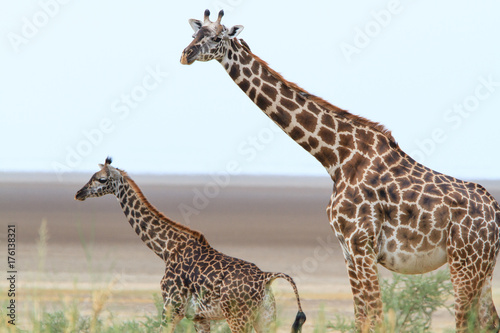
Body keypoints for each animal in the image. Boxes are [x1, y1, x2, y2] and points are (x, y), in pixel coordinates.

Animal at [74, 157, 306, 330]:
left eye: (101, 179)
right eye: (92, 176)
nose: (79, 193)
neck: (166, 250)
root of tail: (266, 278)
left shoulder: (171, 309)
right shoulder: (199, 317)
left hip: (238, 318)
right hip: (266, 318)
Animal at [181, 9, 500, 330]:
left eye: (217, 38)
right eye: (194, 34)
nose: (186, 54)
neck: (336, 157)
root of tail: (496, 213)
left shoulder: (361, 245)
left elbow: (375, 317)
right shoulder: (348, 251)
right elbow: (362, 317)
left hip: (465, 263)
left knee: (466, 322)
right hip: (482, 269)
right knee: (489, 320)